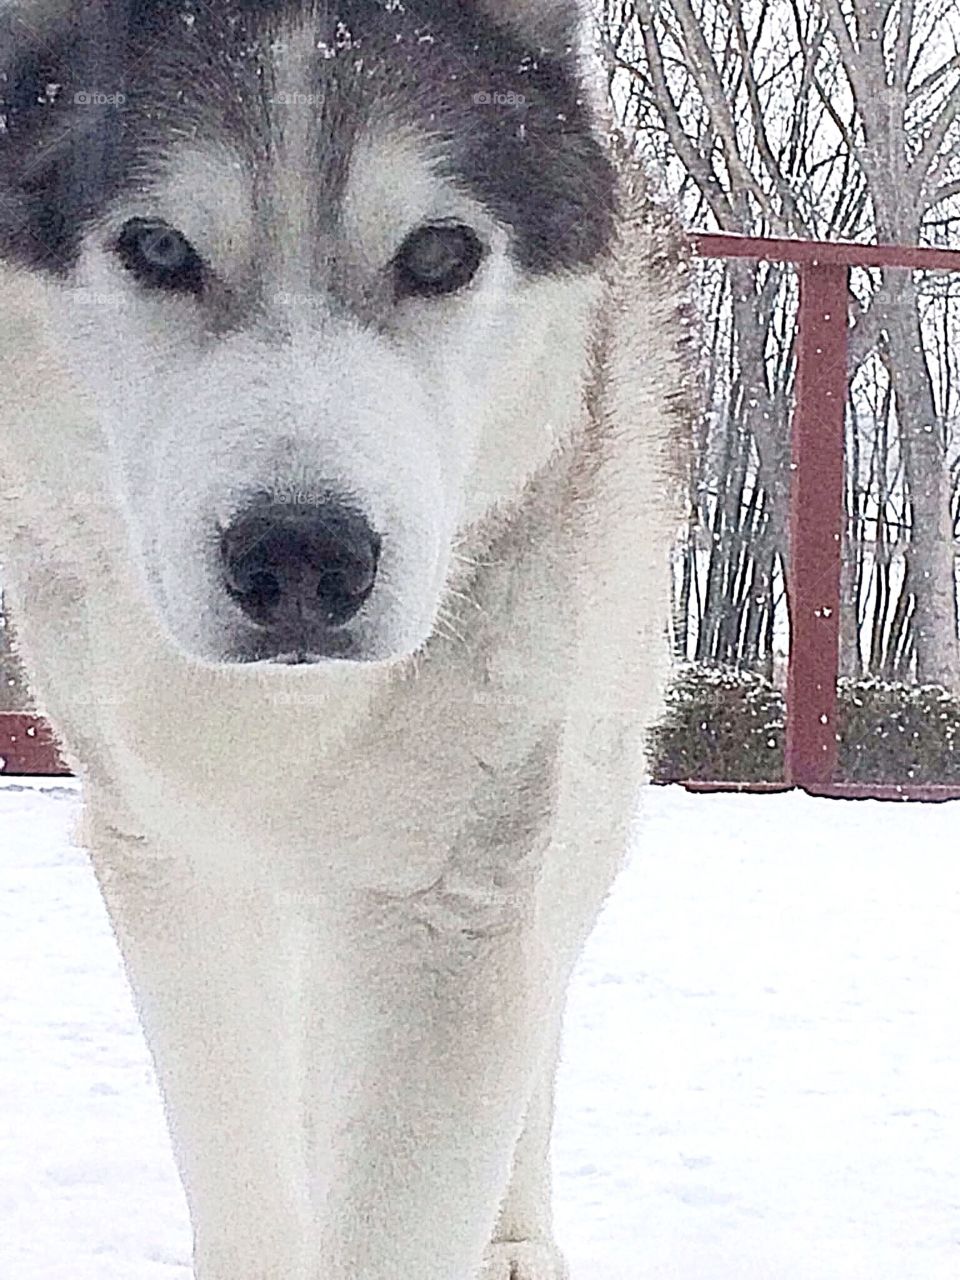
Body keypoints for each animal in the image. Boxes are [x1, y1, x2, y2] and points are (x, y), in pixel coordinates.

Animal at [0, 2, 686, 1280]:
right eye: (158, 247)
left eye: (439, 254)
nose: (303, 556)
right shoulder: (173, 858)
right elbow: (245, 1162)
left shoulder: (456, 887)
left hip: (591, 756)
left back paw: (515, 1233)